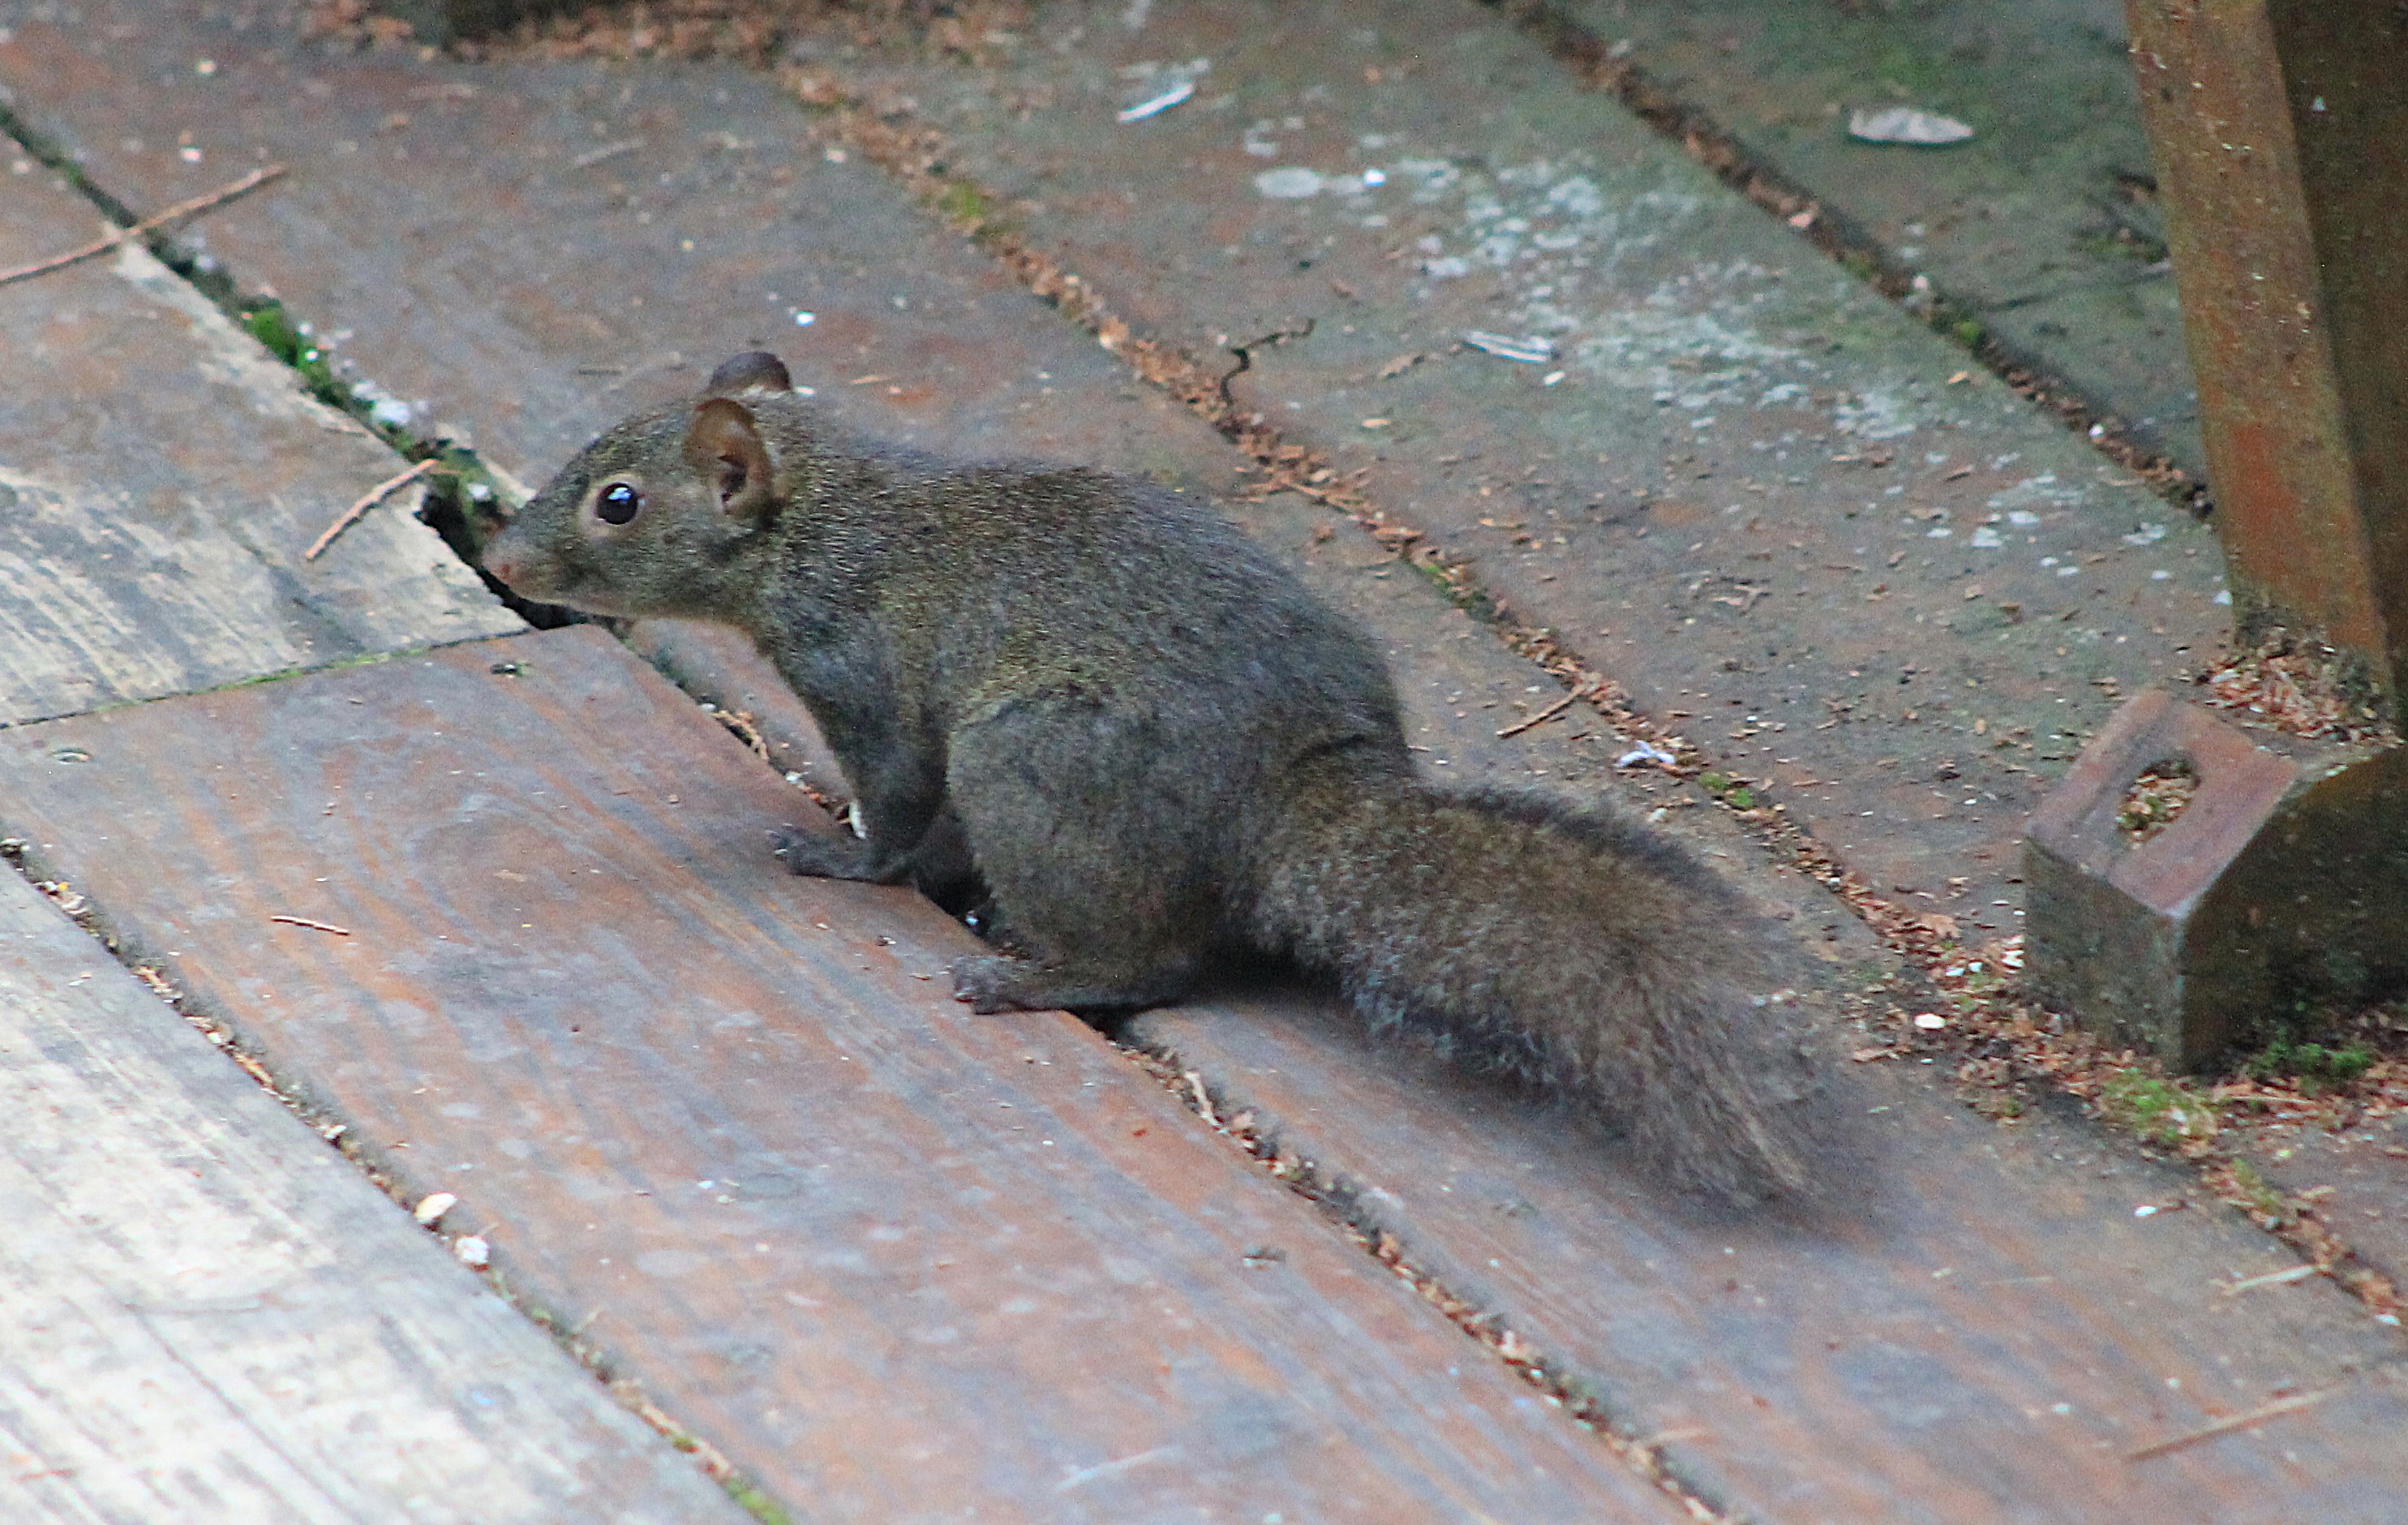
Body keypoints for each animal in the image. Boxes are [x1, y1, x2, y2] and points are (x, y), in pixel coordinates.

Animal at [484, 351, 1828, 1201]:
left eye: (617, 502)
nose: (499, 557)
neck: (828, 519)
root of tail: (1285, 806)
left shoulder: (867, 679)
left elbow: (896, 805)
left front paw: (840, 857)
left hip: (1033, 761)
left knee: (1153, 963)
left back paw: (1023, 976)